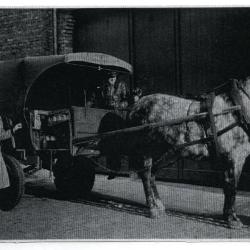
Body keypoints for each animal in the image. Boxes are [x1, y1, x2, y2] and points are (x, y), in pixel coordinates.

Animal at [98, 77, 250, 229]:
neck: (235, 109)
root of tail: (135, 106)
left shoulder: (229, 160)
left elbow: (227, 186)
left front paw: (227, 216)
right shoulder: (235, 158)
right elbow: (232, 188)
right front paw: (233, 219)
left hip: (163, 153)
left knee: (152, 175)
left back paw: (159, 205)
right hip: (147, 151)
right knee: (146, 175)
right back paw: (153, 209)